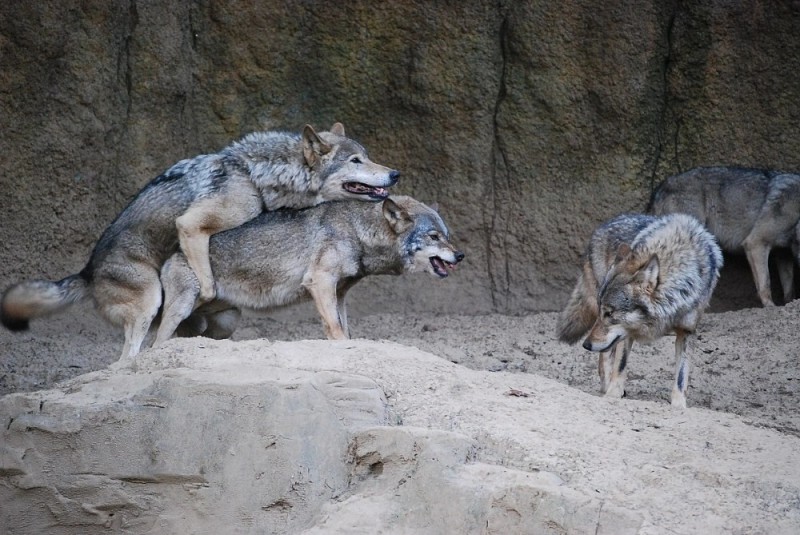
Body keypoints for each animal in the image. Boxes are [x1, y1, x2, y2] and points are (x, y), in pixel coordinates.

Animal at [154, 196, 466, 344]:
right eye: (434, 237)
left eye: (447, 235)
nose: (460, 255)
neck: (356, 231)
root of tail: (172, 253)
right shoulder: (320, 281)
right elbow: (335, 329)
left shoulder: (340, 293)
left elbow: (345, 330)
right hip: (183, 308)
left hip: (227, 320)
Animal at [560, 211, 720, 408]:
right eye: (603, 311)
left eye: (609, 313)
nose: (586, 345)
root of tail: (604, 224)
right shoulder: (626, 332)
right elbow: (620, 366)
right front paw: (612, 395)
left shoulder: (686, 331)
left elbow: (681, 376)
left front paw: (679, 406)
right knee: (604, 358)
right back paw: (606, 387)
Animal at [648, 168, 800, 310]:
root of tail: (660, 188)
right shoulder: (755, 243)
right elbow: (765, 283)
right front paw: (770, 306)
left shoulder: (783, 254)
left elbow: (789, 288)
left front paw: (789, 302)